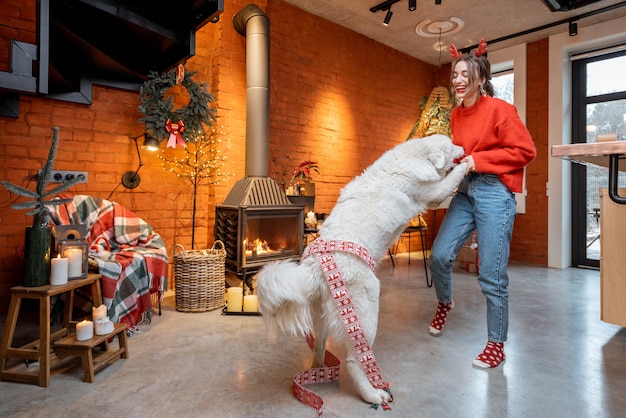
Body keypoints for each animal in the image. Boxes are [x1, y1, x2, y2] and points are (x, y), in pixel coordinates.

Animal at [254, 136, 464, 406]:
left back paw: (317, 371)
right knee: (355, 361)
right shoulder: (434, 194)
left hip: (322, 318)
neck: (414, 156)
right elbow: (452, 179)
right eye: (451, 145)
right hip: (366, 313)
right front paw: (470, 163)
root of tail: (315, 269)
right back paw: (372, 393)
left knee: (319, 347)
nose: (464, 147)